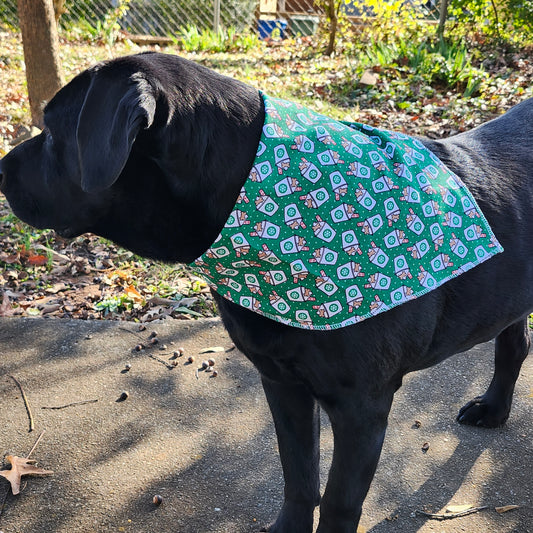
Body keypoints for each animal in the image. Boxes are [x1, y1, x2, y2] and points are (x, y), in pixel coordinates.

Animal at [0, 51, 528, 532]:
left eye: (53, 132)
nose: (1, 169)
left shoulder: (362, 406)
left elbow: (339, 502)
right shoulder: (280, 380)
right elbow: (298, 475)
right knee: (514, 344)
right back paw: (494, 408)